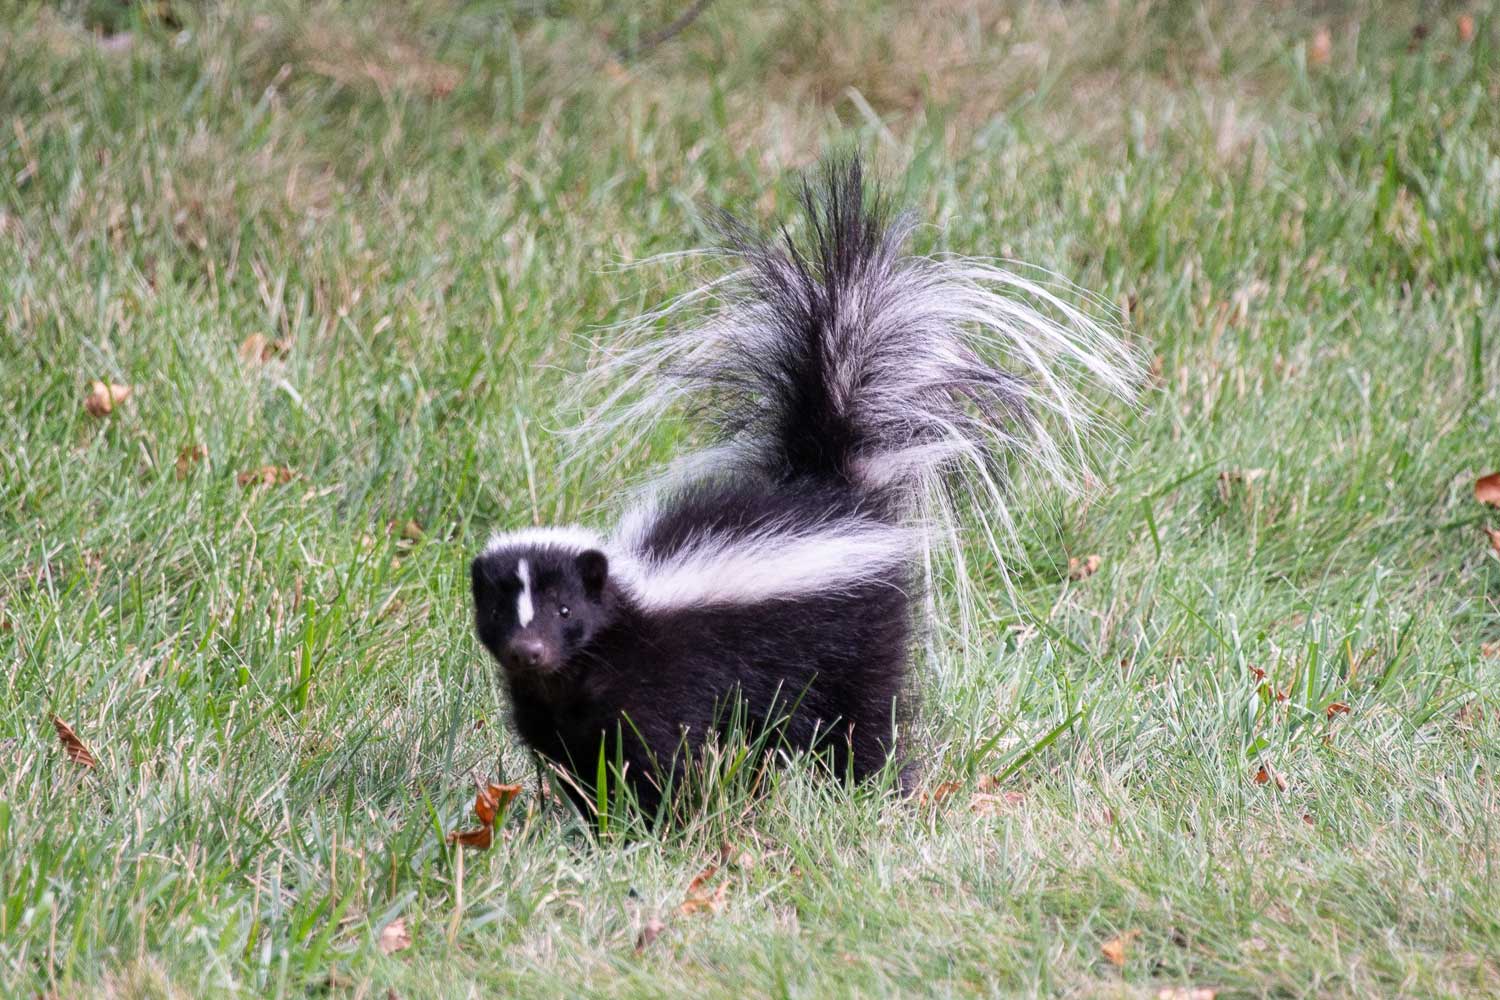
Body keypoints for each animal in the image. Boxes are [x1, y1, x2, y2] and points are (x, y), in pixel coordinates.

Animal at [471, 154, 1134, 815]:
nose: (529, 651)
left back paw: (876, 788)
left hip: (858, 639)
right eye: (502, 610)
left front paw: (661, 819)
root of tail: (833, 485)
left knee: (864, 717)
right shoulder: (556, 710)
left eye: (565, 609)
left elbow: (658, 751)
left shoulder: (662, 679)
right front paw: (592, 819)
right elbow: (577, 761)